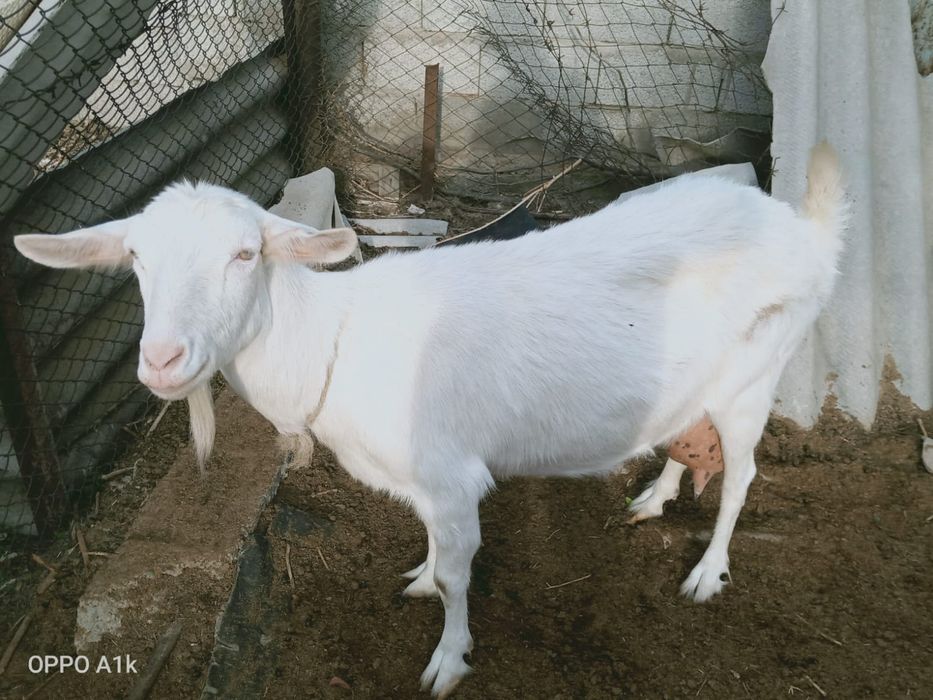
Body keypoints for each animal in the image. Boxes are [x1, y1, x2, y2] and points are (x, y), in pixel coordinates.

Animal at [15, 143, 846, 697]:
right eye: (134, 258)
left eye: (246, 254)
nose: (162, 360)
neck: (333, 342)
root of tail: (804, 232)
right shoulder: (421, 481)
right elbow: (432, 555)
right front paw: (416, 577)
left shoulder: (452, 477)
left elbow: (456, 575)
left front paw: (448, 660)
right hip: (702, 379)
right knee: (687, 435)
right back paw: (654, 498)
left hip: (756, 374)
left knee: (742, 475)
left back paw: (707, 572)